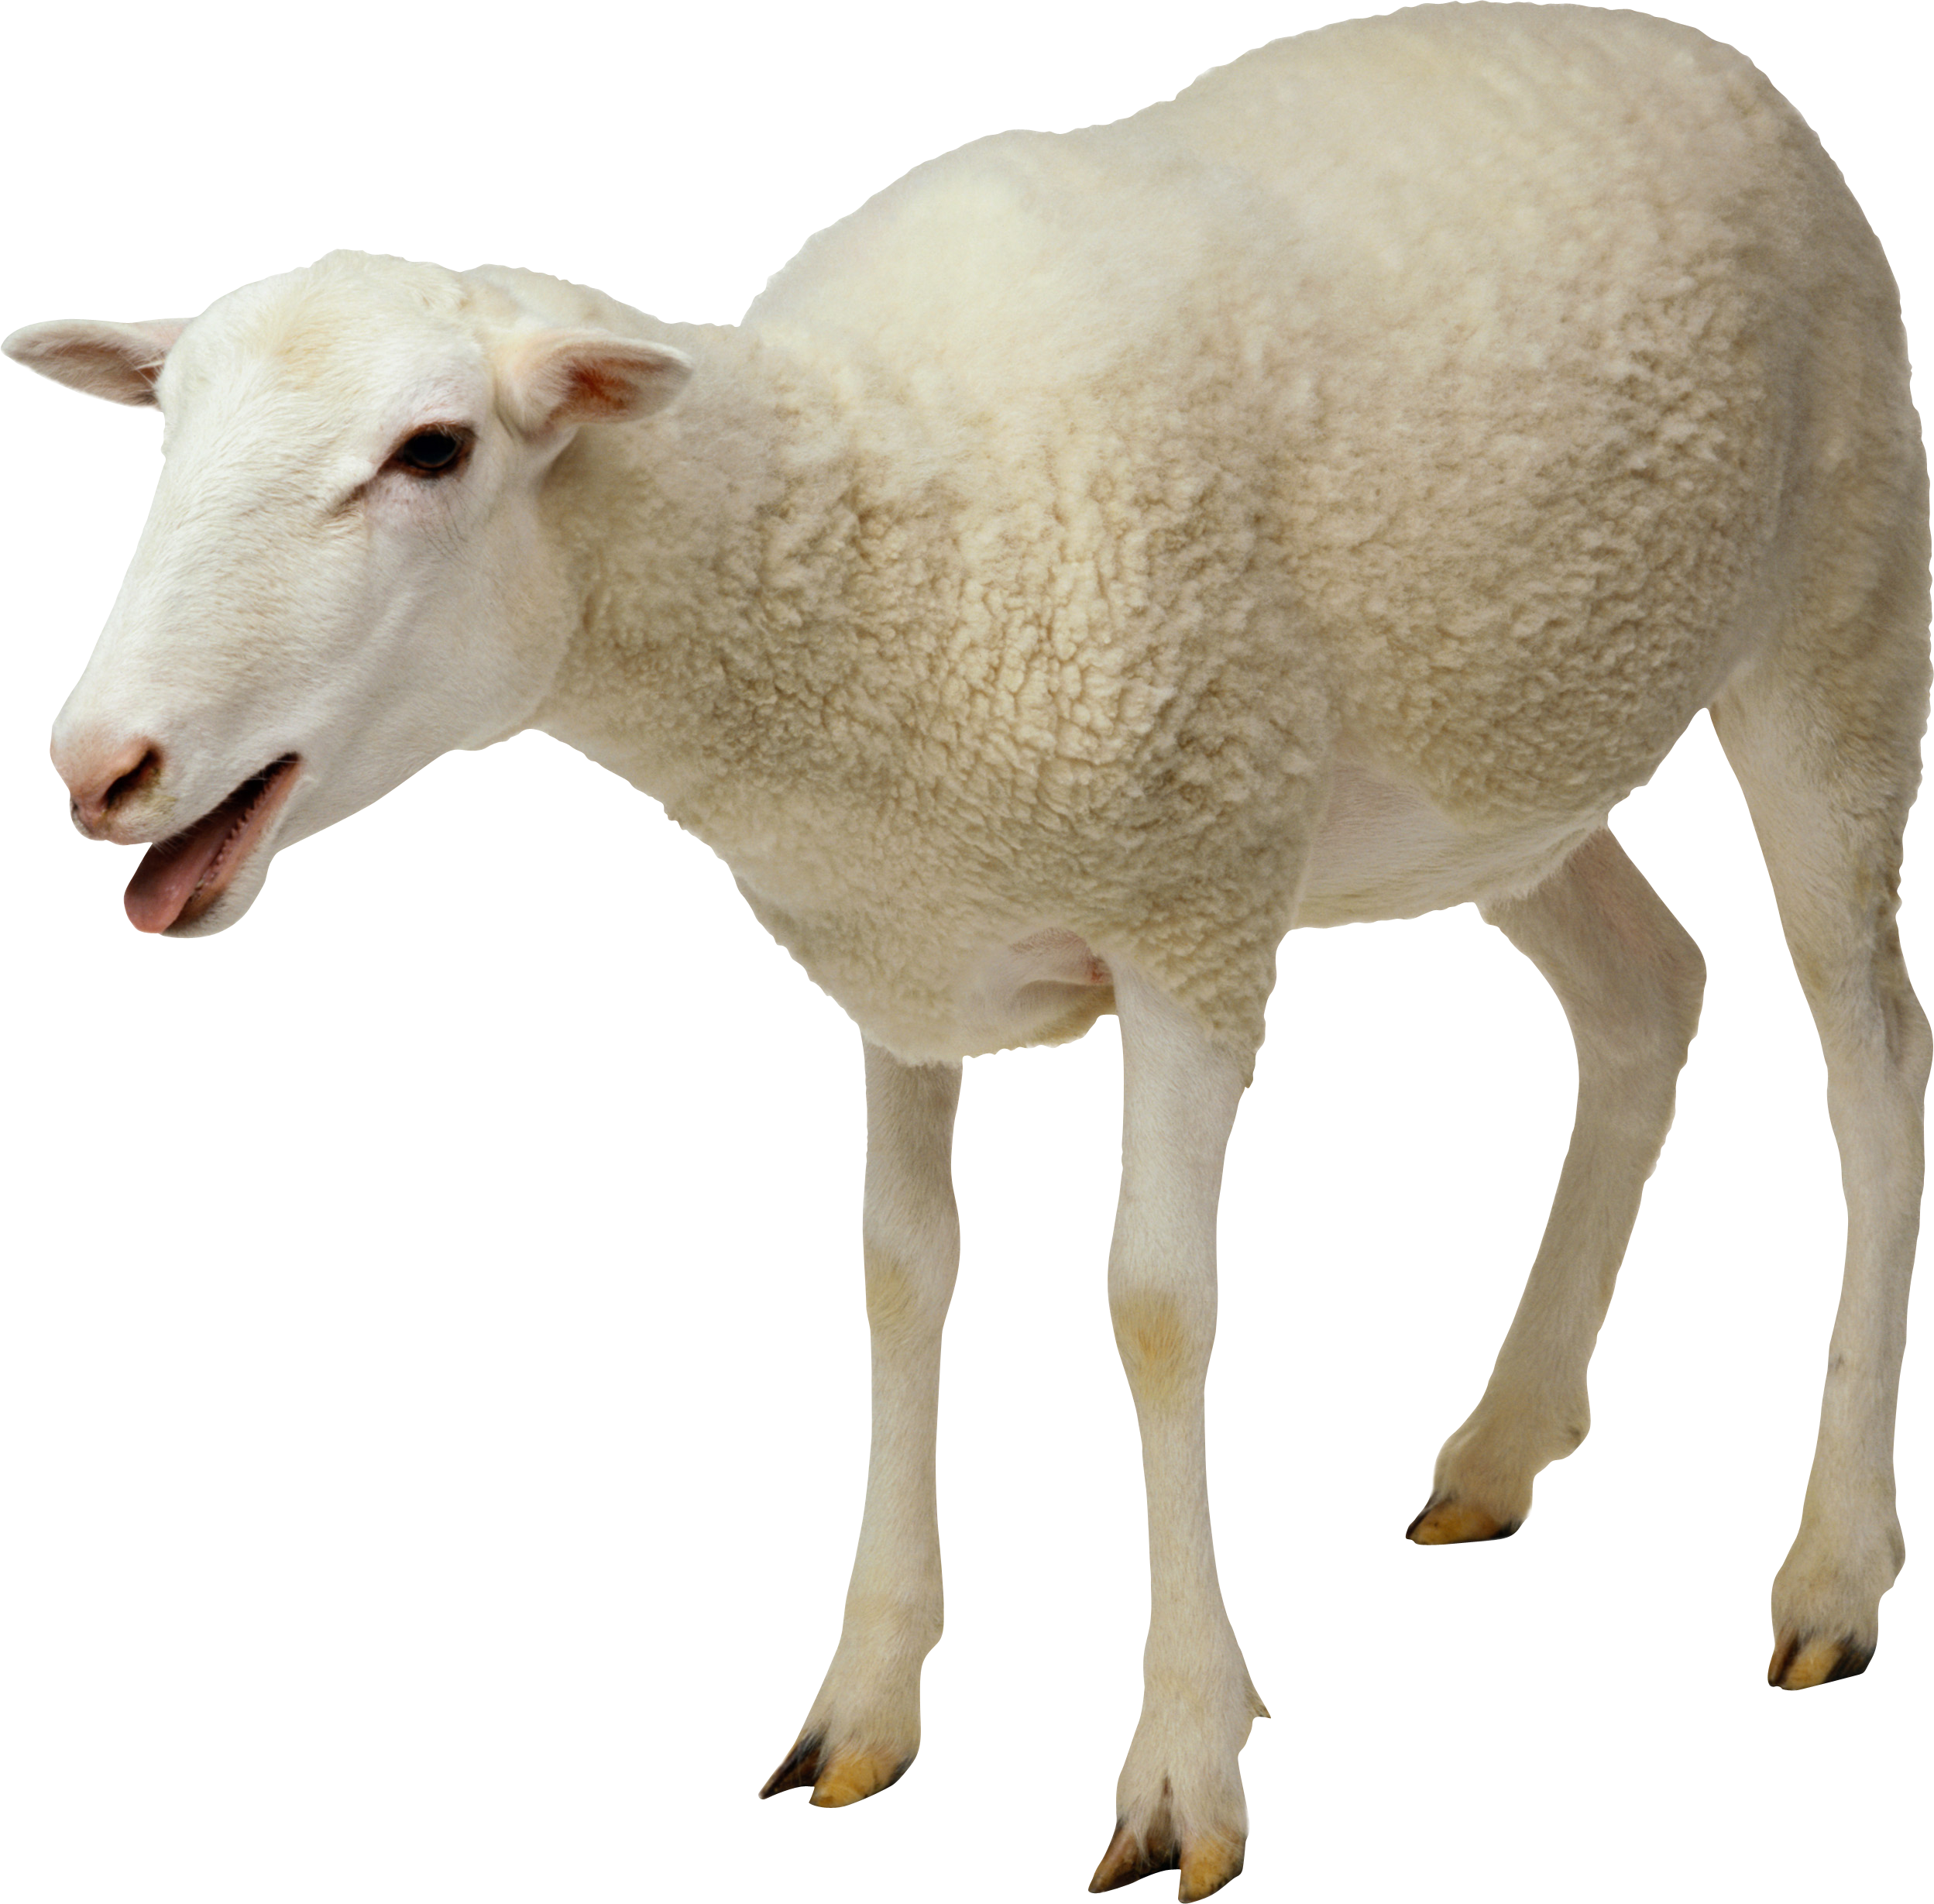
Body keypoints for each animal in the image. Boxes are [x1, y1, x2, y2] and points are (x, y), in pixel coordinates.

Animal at [5, 2, 1926, 1896]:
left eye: (433, 451)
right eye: (164, 429)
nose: (99, 765)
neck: (869, 544)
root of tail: (1680, 43)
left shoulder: (1195, 910)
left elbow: (1156, 1304)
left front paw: (1184, 1757)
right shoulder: (899, 951)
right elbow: (896, 1271)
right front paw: (865, 1700)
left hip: (1837, 608)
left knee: (1869, 1052)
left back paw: (1832, 1566)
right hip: (1500, 769)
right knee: (1647, 991)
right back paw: (1506, 1441)